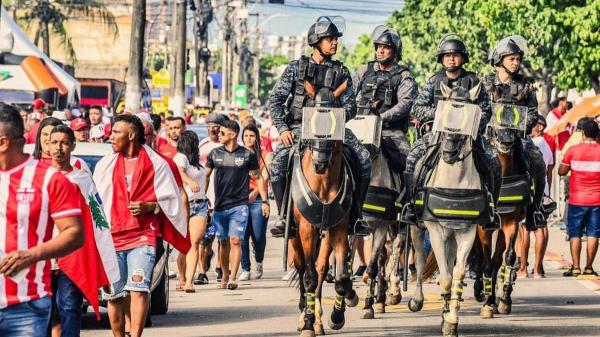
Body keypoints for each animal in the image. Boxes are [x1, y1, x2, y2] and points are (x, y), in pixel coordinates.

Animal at [288, 82, 358, 336]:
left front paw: (335, 316)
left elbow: (339, 278)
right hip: (295, 235)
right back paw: (305, 315)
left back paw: (318, 318)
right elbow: (308, 277)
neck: (324, 181)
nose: (319, 163)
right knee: (302, 267)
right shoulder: (306, 228)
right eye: (309, 120)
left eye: (336, 122)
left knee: (319, 268)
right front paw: (308, 322)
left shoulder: (338, 229)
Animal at [410, 80, 494, 334]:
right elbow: (445, 276)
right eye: (444, 114)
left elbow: (456, 273)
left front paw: (451, 319)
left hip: (453, 234)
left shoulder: (466, 231)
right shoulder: (436, 230)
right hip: (417, 229)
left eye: (469, 120)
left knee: (448, 261)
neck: (454, 181)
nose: (448, 152)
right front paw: (447, 316)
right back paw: (417, 300)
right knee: (419, 259)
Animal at [474, 101, 528, 316]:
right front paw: (487, 302)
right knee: (481, 256)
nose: (506, 142)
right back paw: (480, 292)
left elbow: (509, 257)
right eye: (494, 124)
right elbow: (486, 261)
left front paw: (504, 299)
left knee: (498, 258)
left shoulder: (511, 222)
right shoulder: (483, 227)